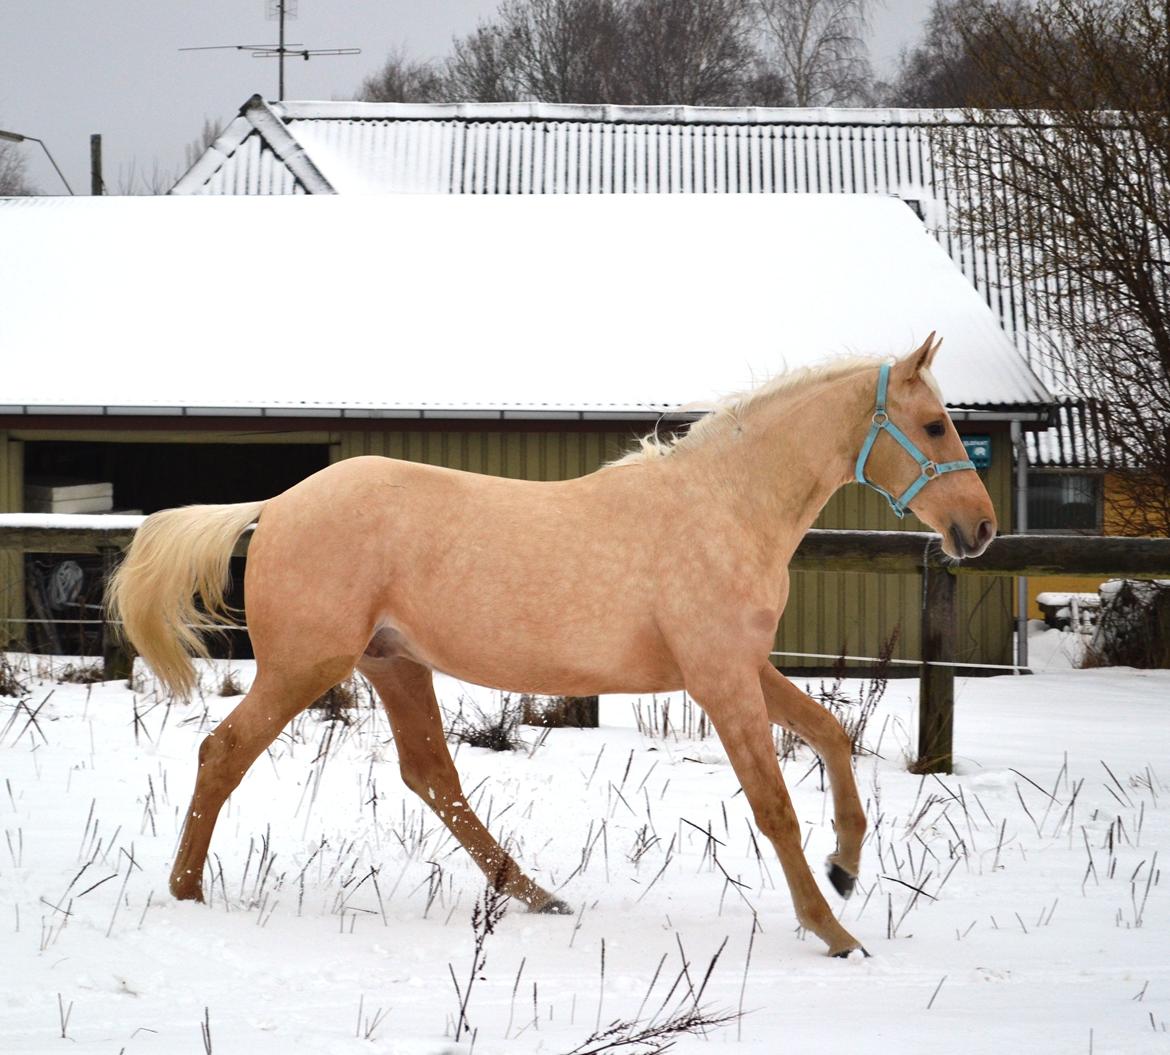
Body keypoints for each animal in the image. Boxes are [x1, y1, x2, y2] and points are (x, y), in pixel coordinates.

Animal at [105, 336, 992, 959]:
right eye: (934, 424)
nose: (979, 528)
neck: (722, 507)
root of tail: (277, 504)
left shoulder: (738, 666)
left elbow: (831, 734)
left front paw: (846, 866)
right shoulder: (718, 677)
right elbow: (773, 804)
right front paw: (833, 929)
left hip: (394, 663)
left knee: (432, 776)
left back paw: (536, 893)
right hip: (304, 666)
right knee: (224, 752)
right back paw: (186, 890)